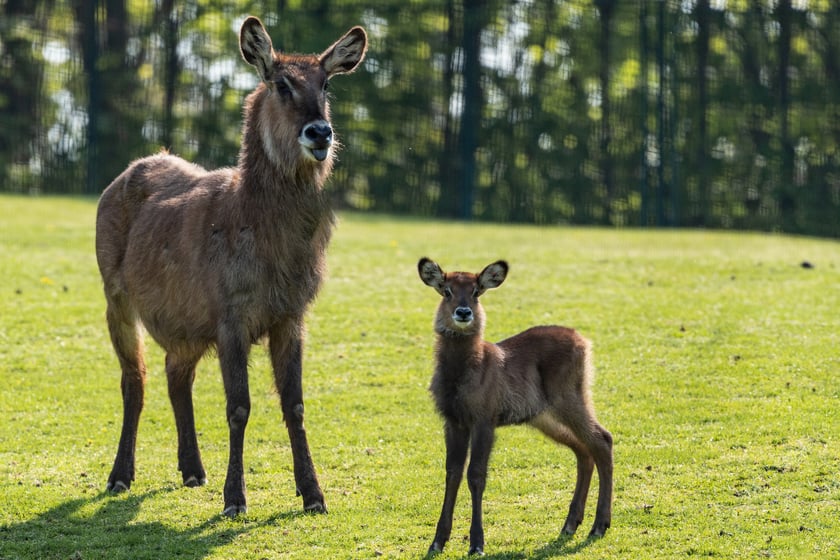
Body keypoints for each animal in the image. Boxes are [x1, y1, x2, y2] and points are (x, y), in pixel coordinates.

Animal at [93, 16, 366, 516]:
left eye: (326, 83)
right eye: (280, 83)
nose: (319, 132)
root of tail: (125, 173)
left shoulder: (291, 315)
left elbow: (295, 405)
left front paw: (313, 494)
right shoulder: (230, 317)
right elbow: (239, 407)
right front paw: (235, 499)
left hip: (184, 323)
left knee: (175, 374)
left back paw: (192, 470)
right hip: (115, 297)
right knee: (134, 379)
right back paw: (121, 475)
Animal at [418, 260, 612, 556]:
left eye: (476, 291)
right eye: (447, 290)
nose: (463, 312)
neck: (461, 373)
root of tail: (583, 341)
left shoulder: (484, 418)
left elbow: (476, 474)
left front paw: (477, 543)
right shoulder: (453, 420)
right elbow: (452, 473)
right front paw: (438, 541)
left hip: (569, 398)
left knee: (603, 439)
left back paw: (599, 526)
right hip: (544, 416)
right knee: (583, 449)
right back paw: (570, 524)